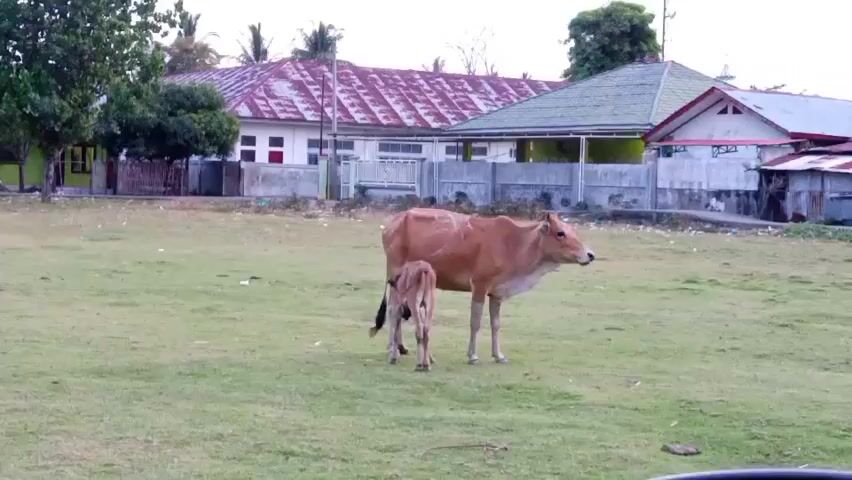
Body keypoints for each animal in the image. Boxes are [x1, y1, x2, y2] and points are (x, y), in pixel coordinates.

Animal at [369, 208, 595, 365]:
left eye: (572, 231)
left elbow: (495, 324)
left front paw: (499, 355)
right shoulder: (479, 285)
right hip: (397, 278)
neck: (514, 244)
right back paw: (393, 351)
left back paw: (401, 348)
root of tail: (393, 222)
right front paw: (473, 356)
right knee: (393, 311)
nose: (590, 255)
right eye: (560, 233)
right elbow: (475, 322)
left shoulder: (496, 294)